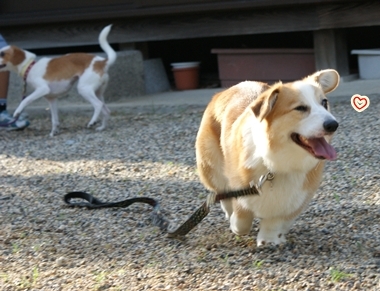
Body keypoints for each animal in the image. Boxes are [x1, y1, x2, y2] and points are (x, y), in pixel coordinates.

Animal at [196, 69, 338, 246]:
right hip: (211, 167)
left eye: (324, 103)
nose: (333, 125)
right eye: (300, 108)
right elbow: (242, 219)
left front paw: (269, 240)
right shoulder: (242, 190)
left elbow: (276, 221)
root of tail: (224, 91)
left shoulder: (296, 199)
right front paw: (236, 224)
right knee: (221, 192)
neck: (279, 164)